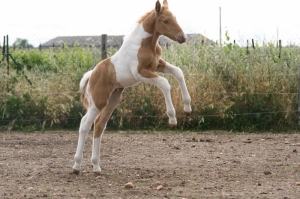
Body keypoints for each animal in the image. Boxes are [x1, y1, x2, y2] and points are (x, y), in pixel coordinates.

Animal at [71, 0, 191, 174]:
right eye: (165, 21)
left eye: (174, 18)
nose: (183, 37)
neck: (143, 44)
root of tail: (92, 73)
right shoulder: (140, 73)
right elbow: (165, 83)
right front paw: (172, 119)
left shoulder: (157, 65)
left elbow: (178, 72)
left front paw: (188, 108)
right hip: (98, 102)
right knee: (85, 124)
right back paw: (76, 165)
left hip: (113, 100)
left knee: (99, 125)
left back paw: (96, 166)